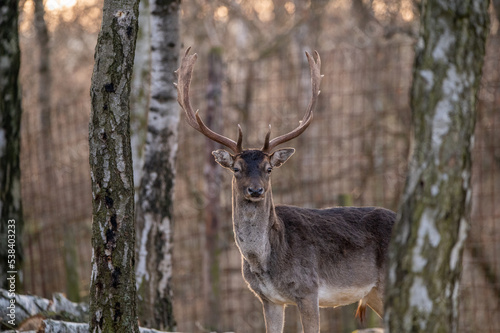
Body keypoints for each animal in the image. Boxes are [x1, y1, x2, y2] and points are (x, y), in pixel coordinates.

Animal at [175, 47, 394, 332]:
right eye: (236, 168)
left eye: (269, 168)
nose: (256, 190)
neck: (264, 261)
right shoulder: (269, 299)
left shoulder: (308, 289)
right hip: (374, 293)